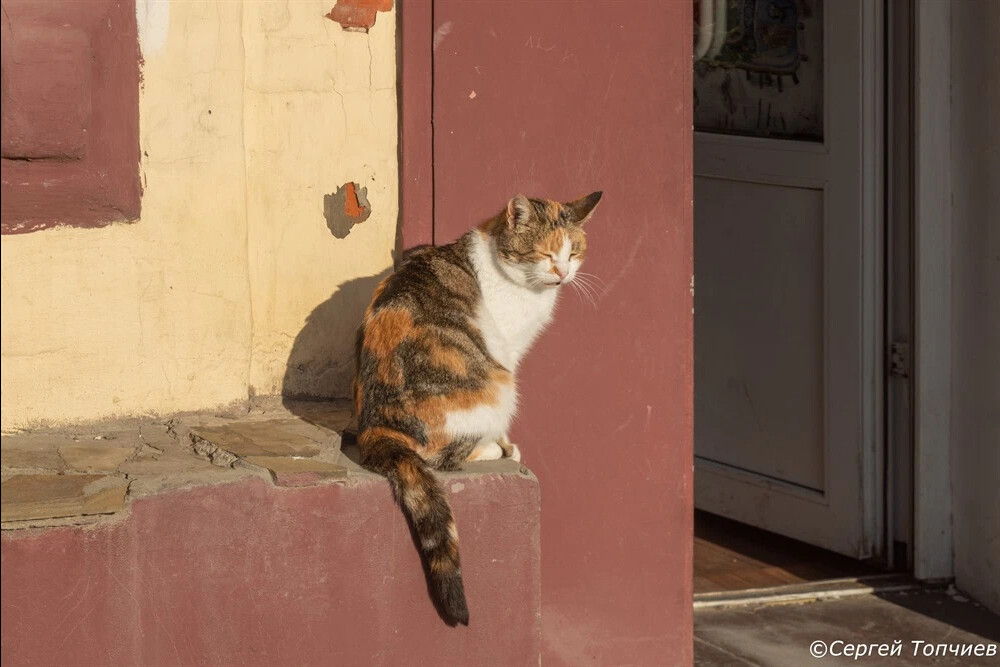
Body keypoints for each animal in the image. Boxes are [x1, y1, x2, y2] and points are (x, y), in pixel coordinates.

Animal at [352, 189, 600, 628]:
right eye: (544, 252)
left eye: (574, 251)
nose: (562, 273)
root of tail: (376, 426)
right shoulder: (509, 351)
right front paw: (505, 443)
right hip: (498, 385)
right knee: (444, 457)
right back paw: (492, 449)